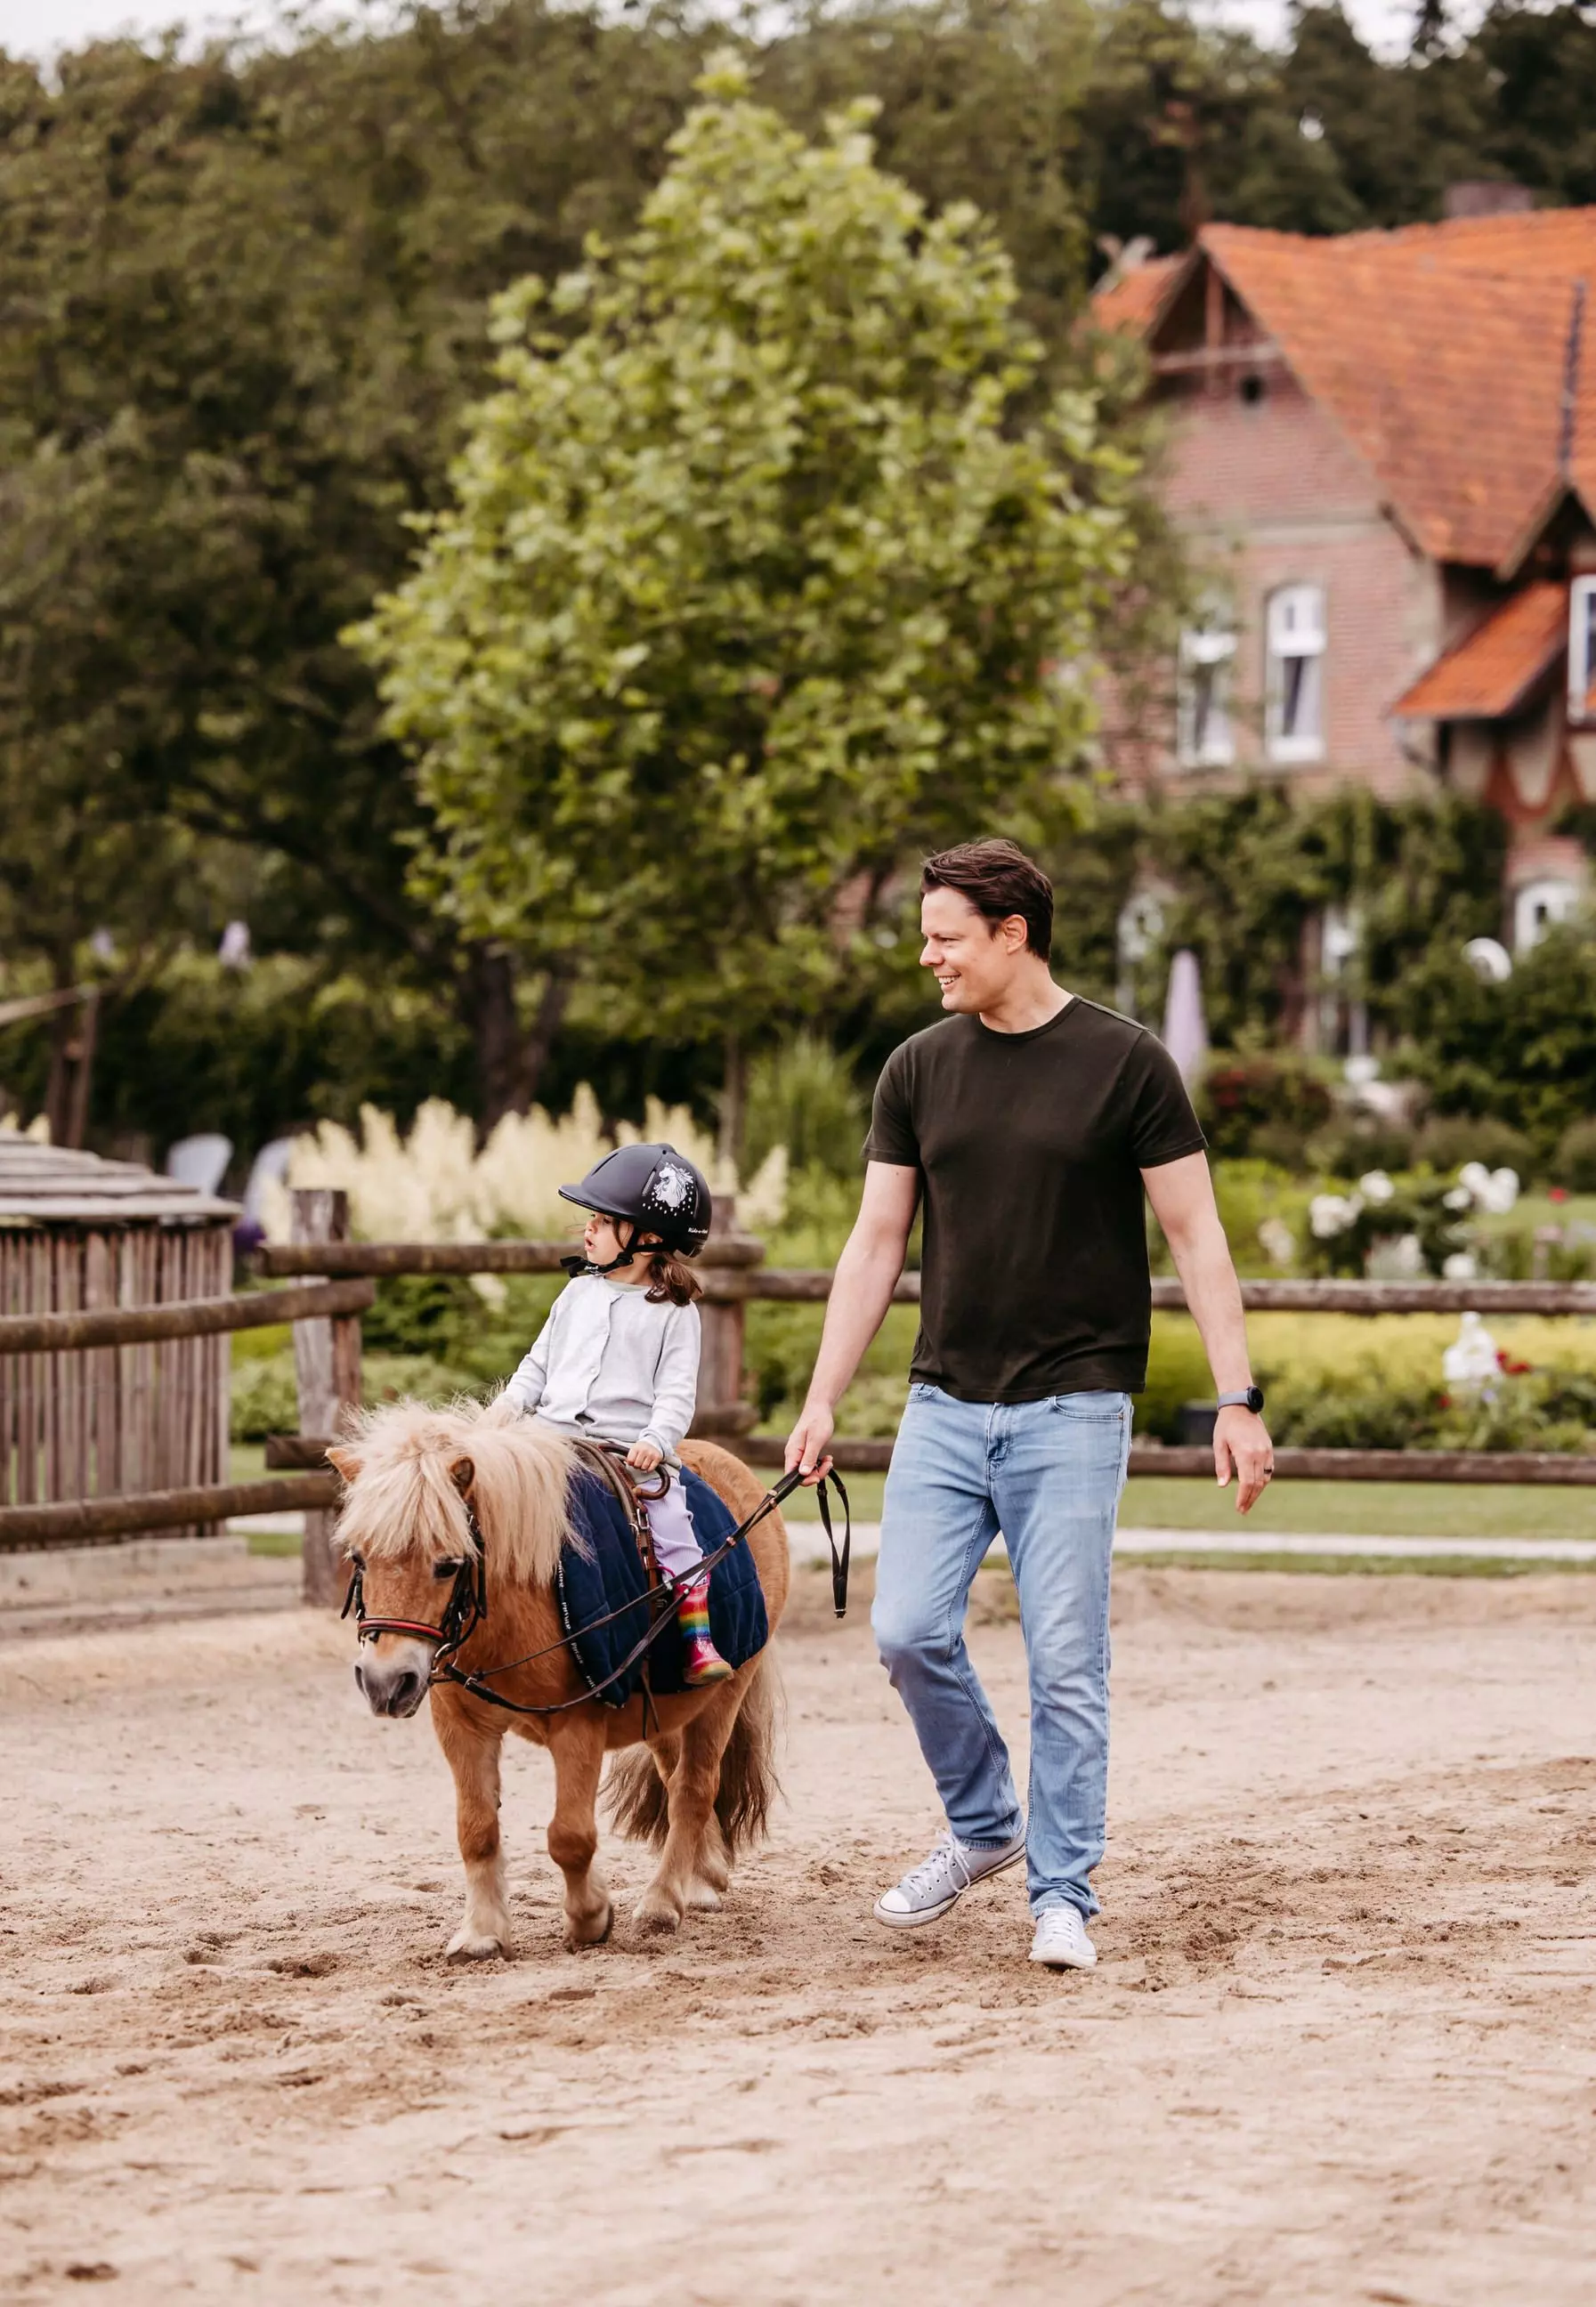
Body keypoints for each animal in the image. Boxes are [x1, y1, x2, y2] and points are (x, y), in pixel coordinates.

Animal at [329, 1397, 788, 1958]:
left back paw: (662, 1903)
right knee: (675, 1779)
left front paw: (590, 1917)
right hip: (669, 1708)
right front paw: (481, 1933)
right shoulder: (460, 1725)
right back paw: (701, 1879)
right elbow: (476, 1829)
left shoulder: (579, 1725)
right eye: (359, 1557)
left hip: (724, 1694)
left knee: (694, 1790)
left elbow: (570, 1836)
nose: (385, 1681)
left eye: (448, 1565)